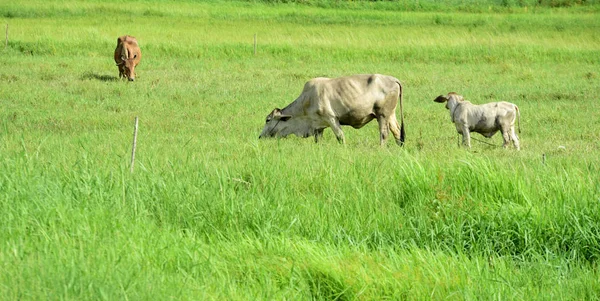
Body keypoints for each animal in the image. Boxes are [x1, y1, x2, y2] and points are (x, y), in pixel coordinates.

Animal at [260, 74, 406, 146]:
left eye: (268, 120)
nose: (260, 136)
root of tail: (394, 79)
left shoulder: (331, 119)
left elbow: (340, 137)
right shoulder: (318, 127)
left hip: (382, 115)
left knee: (384, 135)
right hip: (391, 115)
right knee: (397, 133)